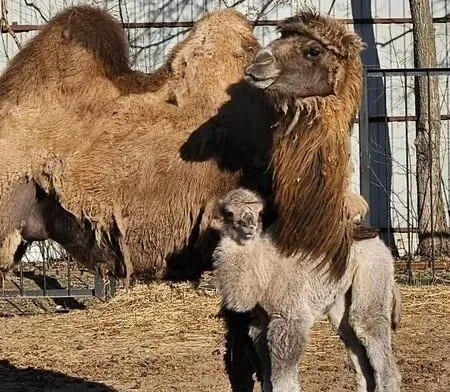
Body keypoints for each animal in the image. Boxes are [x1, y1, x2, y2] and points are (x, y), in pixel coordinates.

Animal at [213, 188, 402, 392]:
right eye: (229, 213)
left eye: (260, 213)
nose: (250, 225)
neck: (266, 272)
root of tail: (380, 244)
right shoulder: (260, 323)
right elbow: (268, 377)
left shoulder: (290, 317)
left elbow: (284, 382)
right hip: (341, 298)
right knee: (351, 338)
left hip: (373, 271)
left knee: (368, 324)